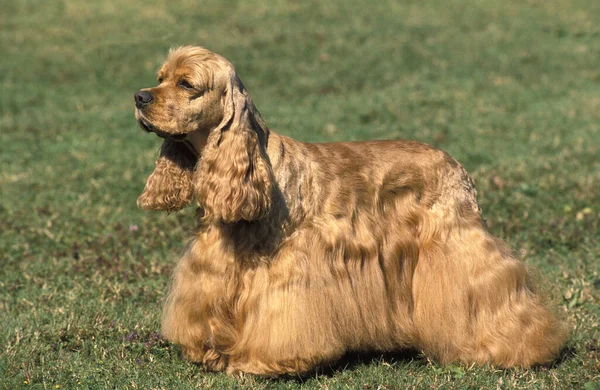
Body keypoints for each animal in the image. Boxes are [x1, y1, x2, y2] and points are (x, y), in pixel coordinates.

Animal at [134, 46, 564, 378]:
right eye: (160, 77)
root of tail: (457, 166)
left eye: (187, 84)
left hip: (460, 245)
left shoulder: (286, 272)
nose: (139, 97)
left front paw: (261, 364)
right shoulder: (214, 265)